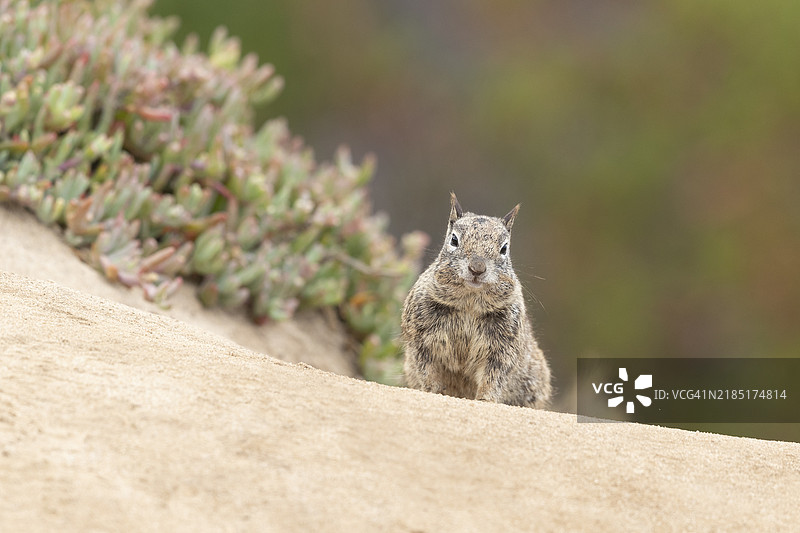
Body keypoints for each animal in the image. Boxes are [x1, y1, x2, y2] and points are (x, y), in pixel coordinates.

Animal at [400, 193, 552, 406]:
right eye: (454, 239)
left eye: (504, 248)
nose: (477, 268)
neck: (469, 305)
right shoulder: (421, 338)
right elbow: (427, 370)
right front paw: (432, 391)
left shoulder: (503, 348)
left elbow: (493, 376)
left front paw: (485, 399)